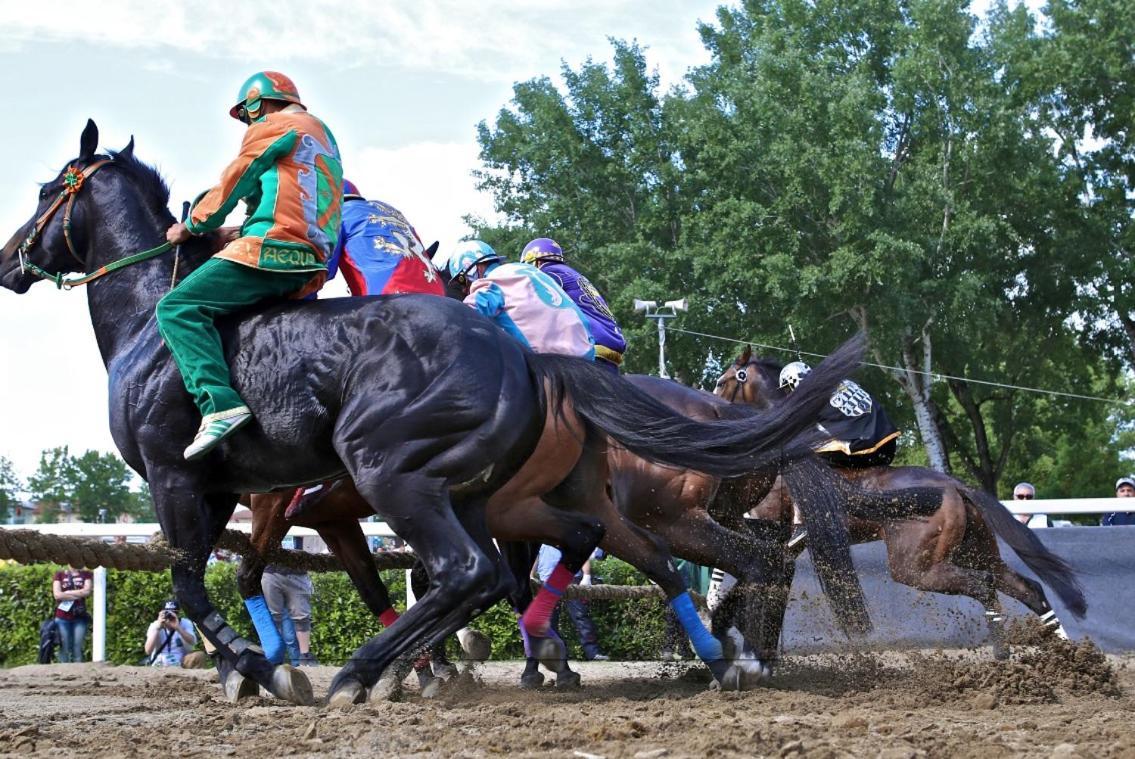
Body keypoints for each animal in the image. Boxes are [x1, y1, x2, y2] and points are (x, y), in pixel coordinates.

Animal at [2, 119, 858, 703]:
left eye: (49, 189)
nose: (10, 259)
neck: (152, 321)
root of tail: (527, 360)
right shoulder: (232, 493)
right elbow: (221, 577)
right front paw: (261, 667)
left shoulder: (183, 479)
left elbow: (193, 581)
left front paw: (261, 668)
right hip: (482, 492)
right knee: (527, 566)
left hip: (399, 472)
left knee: (476, 569)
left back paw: (368, 671)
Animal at [712, 344, 1085, 658]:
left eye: (721, 380)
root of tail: (955, 487)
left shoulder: (761, 521)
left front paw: (716, 606)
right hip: (977, 551)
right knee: (1026, 588)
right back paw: (1072, 656)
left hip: (916, 566)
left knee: (983, 586)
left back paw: (1003, 653)